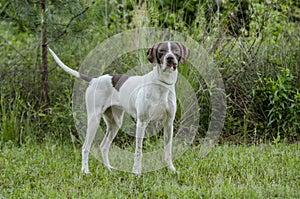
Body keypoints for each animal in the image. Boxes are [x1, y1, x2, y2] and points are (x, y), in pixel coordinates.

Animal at [49, 41, 190, 175]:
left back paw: (109, 169)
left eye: (175, 50)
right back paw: (85, 171)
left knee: (103, 146)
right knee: (85, 147)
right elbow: (138, 152)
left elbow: (168, 151)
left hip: (115, 123)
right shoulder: (142, 122)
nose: (170, 58)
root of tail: (94, 80)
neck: (162, 84)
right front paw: (136, 172)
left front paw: (171, 170)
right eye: (162, 51)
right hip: (94, 120)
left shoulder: (169, 124)